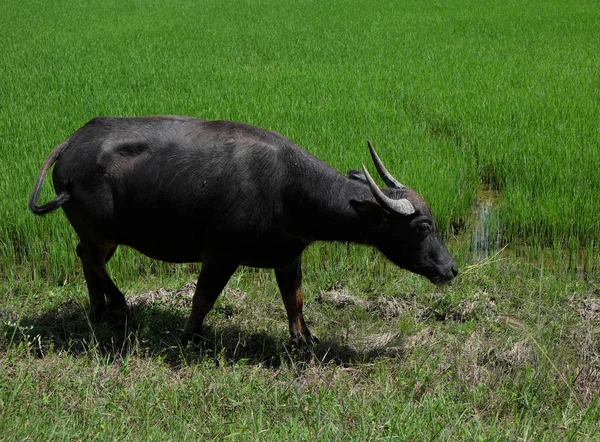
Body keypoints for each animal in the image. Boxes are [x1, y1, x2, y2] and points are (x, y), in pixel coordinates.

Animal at [28, 117, 458, 346]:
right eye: (423, 225)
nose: (451, 269)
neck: (289, 190)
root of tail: (71, 142)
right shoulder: (219, 256)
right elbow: (202, 299)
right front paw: (189, 337)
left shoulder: (288, 258)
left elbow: (295, 302)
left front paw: (304, 339)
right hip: (100, 229)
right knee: (90, 258)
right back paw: (116, 305)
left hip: (106, 235)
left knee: (87, 259)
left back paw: (100, 310)